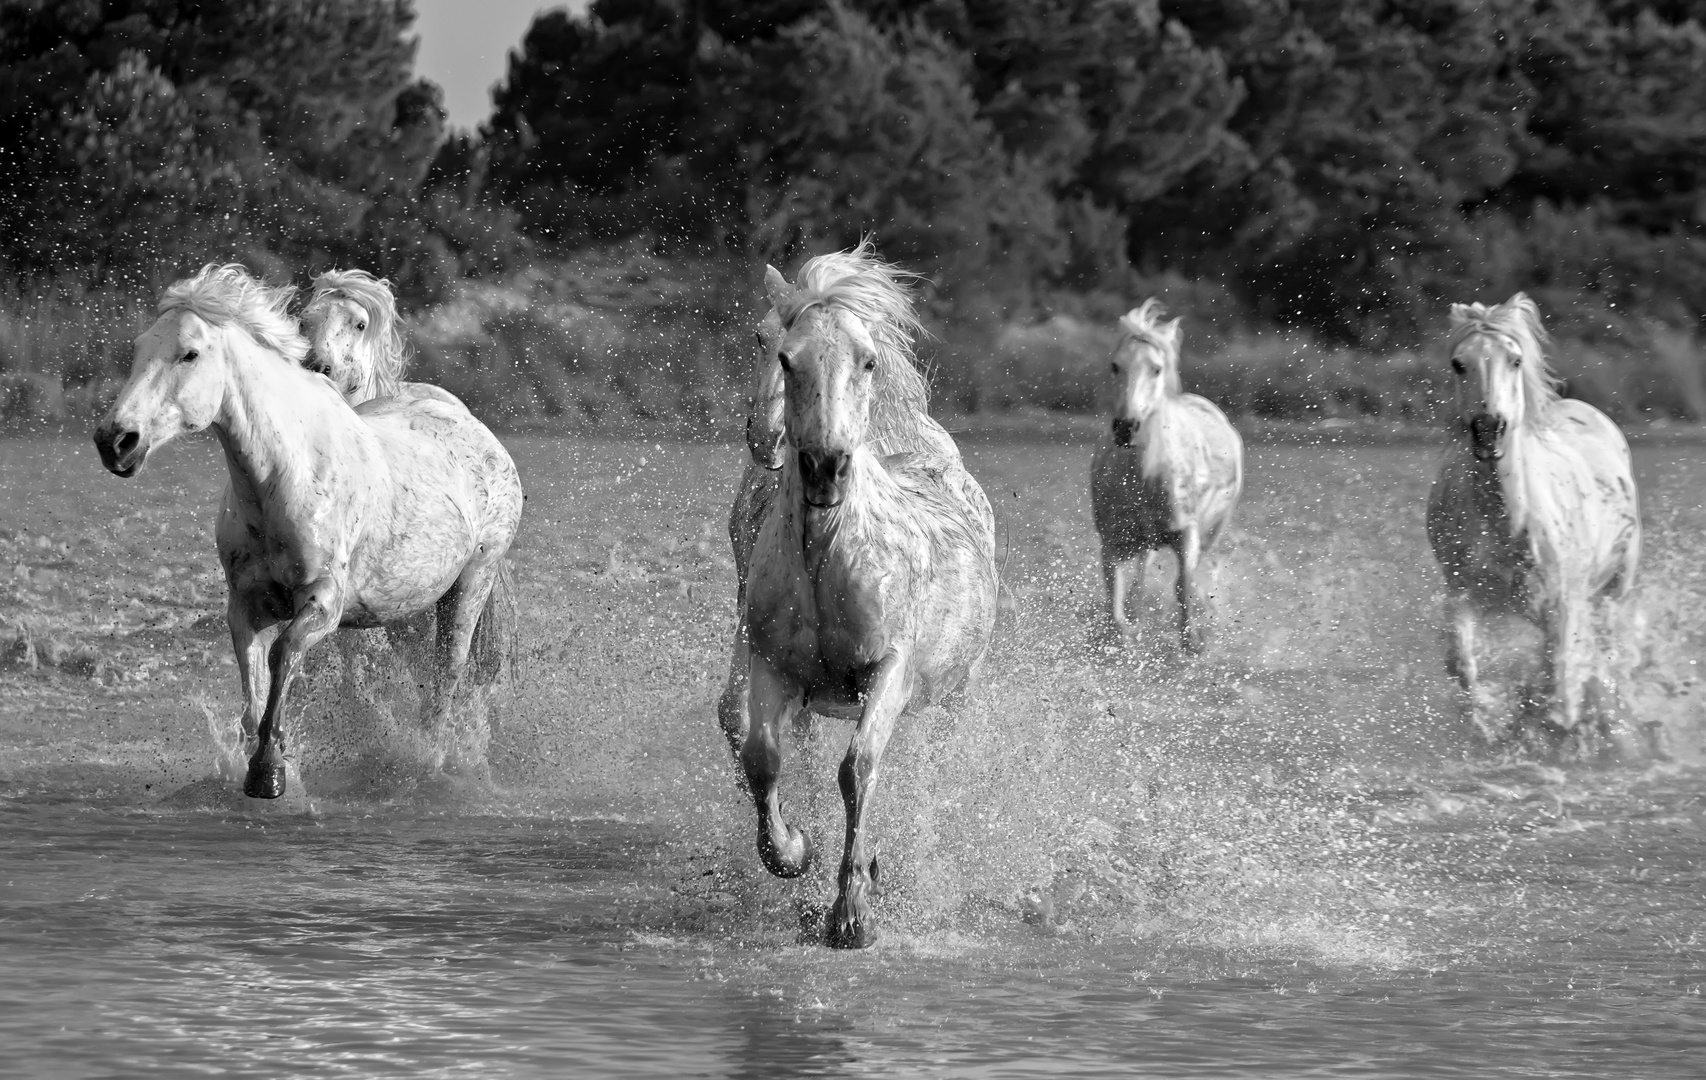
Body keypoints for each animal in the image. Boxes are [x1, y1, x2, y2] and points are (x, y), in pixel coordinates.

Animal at [91, 266, 518, 795]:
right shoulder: (246, 606)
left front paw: (269, 770)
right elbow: (252, 686)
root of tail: (475, 426)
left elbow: (284, 655)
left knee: (446, 679)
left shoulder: (323, 603)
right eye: (138, 349)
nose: (115, 441)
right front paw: (258, 761)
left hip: (471, 583)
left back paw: (428, 763)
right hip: (407, 610)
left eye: (189, 353)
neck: (284, 479)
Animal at [719, 242, 996, 941]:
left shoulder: (888, 671)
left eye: (866, 358)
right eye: (777, 350)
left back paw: (914, 874)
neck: (829, 556)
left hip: (951, 697)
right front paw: (795, 853)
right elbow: (763, 754)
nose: (824, 467)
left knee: (930, 781)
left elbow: (858, 769)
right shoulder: (771, 664)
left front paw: (853, 911)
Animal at [1091, 298, 1241, 651]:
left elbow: (1182, 589)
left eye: (1156, 368)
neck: (1143, 479)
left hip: (1211, 533)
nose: (1126, 427)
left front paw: (1193, 642)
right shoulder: (1112, 544)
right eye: (1115, 366)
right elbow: (1116, 609)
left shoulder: (1187, 535)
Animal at [1419, 290, 1644, 754]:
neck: (1507, 523)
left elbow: (1562, 688)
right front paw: (1490, 726)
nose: (1488, 429)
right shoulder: (1462, 593)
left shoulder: (1563, 603)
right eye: (1458, 363)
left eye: (1515, 360)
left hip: (1614, 591)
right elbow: (1463, 667)